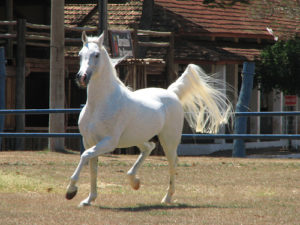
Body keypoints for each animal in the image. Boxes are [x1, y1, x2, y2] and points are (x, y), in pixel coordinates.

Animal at [67, 31, 233, 207]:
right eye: (80, 55)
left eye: (96, 55)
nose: (81, 77)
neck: (100, 104)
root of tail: (172, 93)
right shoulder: (89, 141)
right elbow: (92, 168)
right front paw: (88, 199)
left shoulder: (108, 142)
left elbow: (85, 156)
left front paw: (71, 191)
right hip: (138, 137)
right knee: (149, 147)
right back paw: (134, 181)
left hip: (169, 140)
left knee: (173, 163)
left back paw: (167, 198)